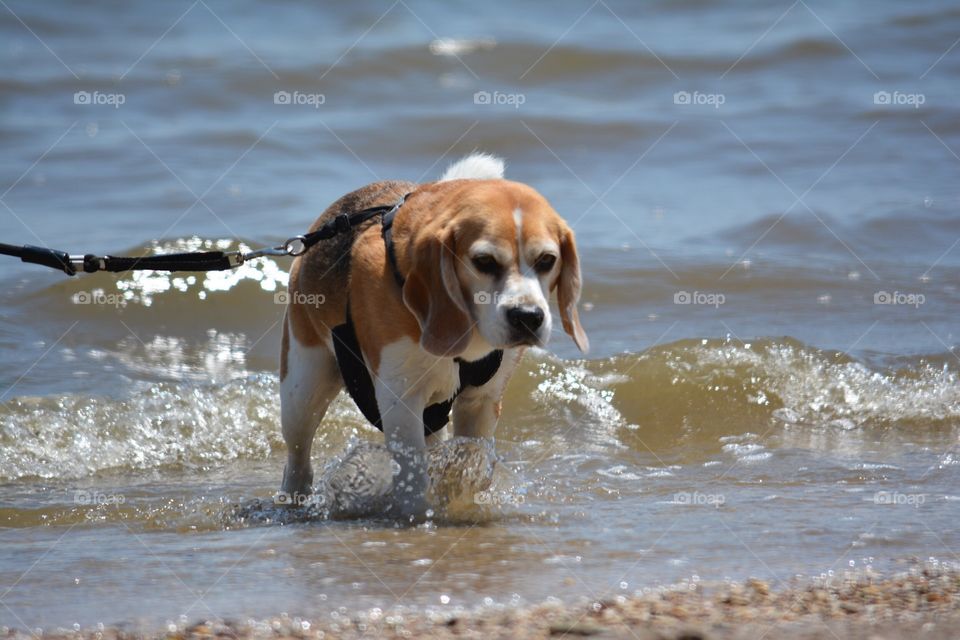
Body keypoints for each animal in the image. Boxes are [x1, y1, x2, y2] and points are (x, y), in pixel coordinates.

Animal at [282, 152, 588, 516]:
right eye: (484, 261)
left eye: (546, 260)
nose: (528, 317)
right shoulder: (401, 399)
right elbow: (413, 471)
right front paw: (416, 511)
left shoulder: (483, 401)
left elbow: (470, 458)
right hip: (301, 389)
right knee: (298, 458)